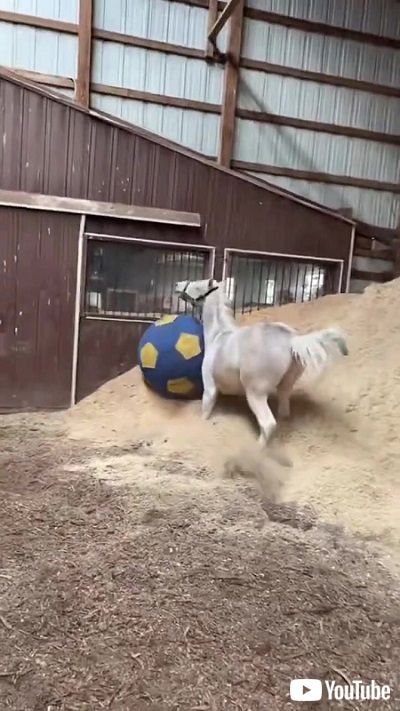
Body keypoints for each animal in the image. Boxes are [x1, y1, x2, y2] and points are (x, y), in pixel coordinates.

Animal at [175, 278, 348, 446]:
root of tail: (291, 339)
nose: (177, 285)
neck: (219, 335)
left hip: (255, 393)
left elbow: (205, 413)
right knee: (283, 413)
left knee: (268, 424)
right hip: (285, 387)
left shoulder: (210, 387)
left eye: (197, 284)